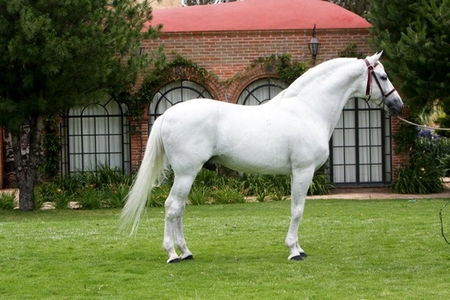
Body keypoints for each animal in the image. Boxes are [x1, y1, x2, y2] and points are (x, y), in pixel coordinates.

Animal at [120, 52, 404, 264]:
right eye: (383, 76)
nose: (398, 105)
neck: (308, 109)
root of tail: (168, 114)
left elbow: (297, 209)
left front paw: (298, 248)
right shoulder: (303, 171)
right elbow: (297, 210)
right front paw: (294, 251)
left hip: (186, 174)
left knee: (178, 209)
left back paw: (186, 252)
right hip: (186, 172)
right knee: (172, 207)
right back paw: (172, 254)